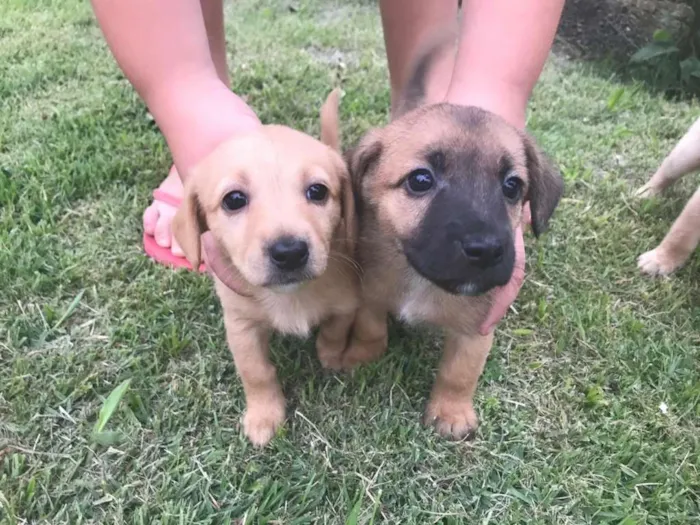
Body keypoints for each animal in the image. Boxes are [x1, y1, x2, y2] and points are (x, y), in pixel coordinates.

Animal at [169, 90, 356, 446]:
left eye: (318, 191)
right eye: (234, 199)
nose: (290, 252)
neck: (290, 296)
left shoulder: (346, 304)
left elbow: (335, 331)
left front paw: (330, 356)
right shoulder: (240, 325)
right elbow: (256, 372)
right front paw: (264, 416)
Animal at [342, 35, 568, 438]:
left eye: (512, 187)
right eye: (420, 180)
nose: (487, 250)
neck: (420, 280)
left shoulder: (476, 329)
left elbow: (459, 372)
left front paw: (451, 412)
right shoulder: (369, 296)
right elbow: (369, 331)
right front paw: (360, 359)